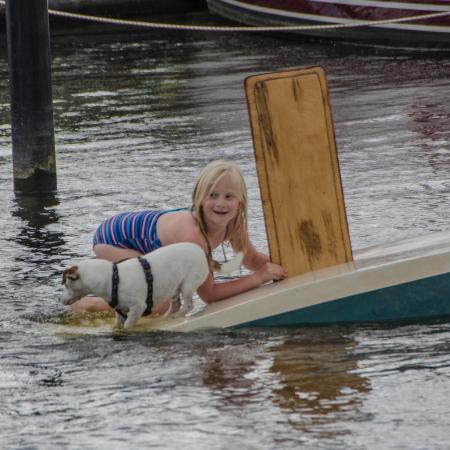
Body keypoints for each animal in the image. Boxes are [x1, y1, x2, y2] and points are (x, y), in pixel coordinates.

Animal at [60, 243, 243, 326]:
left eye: (66, 284)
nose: (60, 300)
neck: (113, 278)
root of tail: (202, 251)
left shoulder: (137, 308)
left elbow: (128, 325)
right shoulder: (120, 312)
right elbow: (118, 324)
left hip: (188, 285)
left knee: (188, 306)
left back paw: (176, 316)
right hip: (174, 287)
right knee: (176, 304)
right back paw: (167, 316)